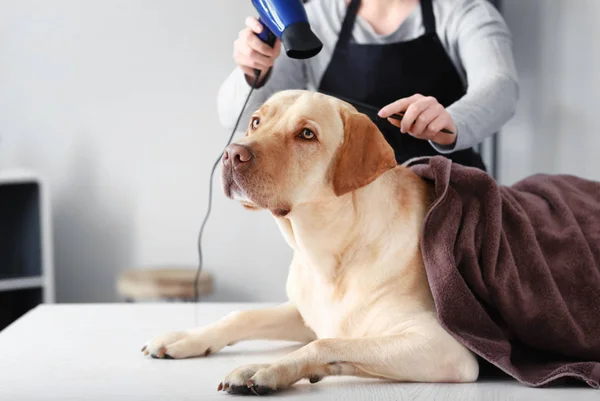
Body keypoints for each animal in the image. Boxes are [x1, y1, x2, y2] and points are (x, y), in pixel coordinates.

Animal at [141, 89, 478, 392]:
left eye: (306, 134)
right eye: (255, 121)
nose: (232, 154)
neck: (333, 251)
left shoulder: (444, 346)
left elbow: (325, 343)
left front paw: (266, 368)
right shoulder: (306, 312)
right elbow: (243, 314)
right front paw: (187, 337)